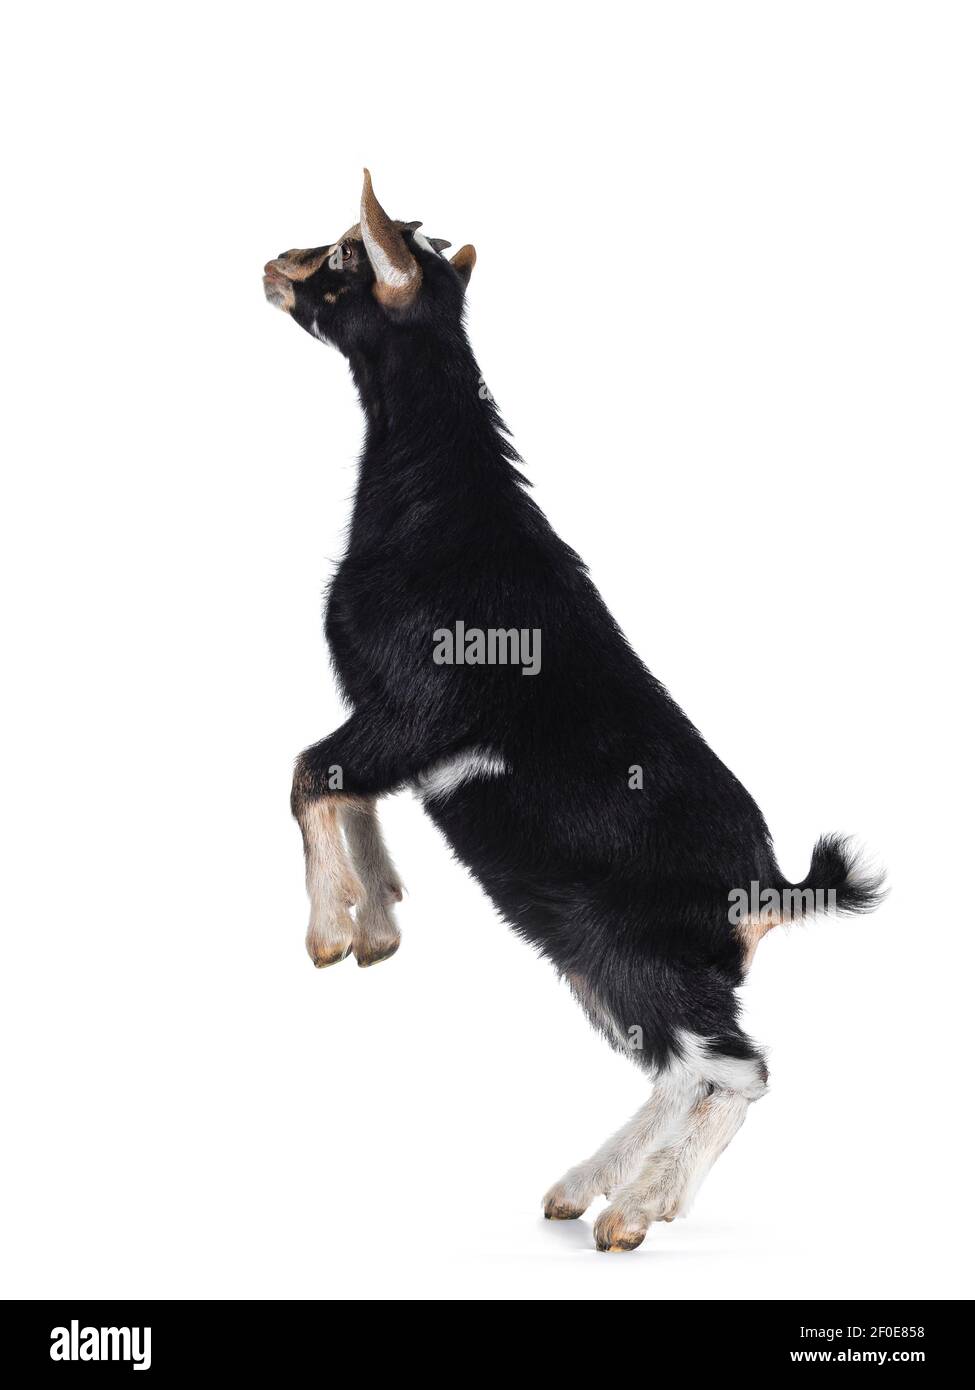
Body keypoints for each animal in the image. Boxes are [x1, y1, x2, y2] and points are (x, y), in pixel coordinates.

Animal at [263, 171, 884, 1252]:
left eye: (343, 255)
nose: (269, 267)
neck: (439, 505)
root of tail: (767, 889)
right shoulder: (389, 732)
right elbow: (346, 792)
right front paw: (378, 920)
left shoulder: (413, 713)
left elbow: (306, 773)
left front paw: (331, 933)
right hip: (591, 954)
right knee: (680, 1065)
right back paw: (591, 1186)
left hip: (634, 951)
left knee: (736, 1068)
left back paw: (635, 1209)